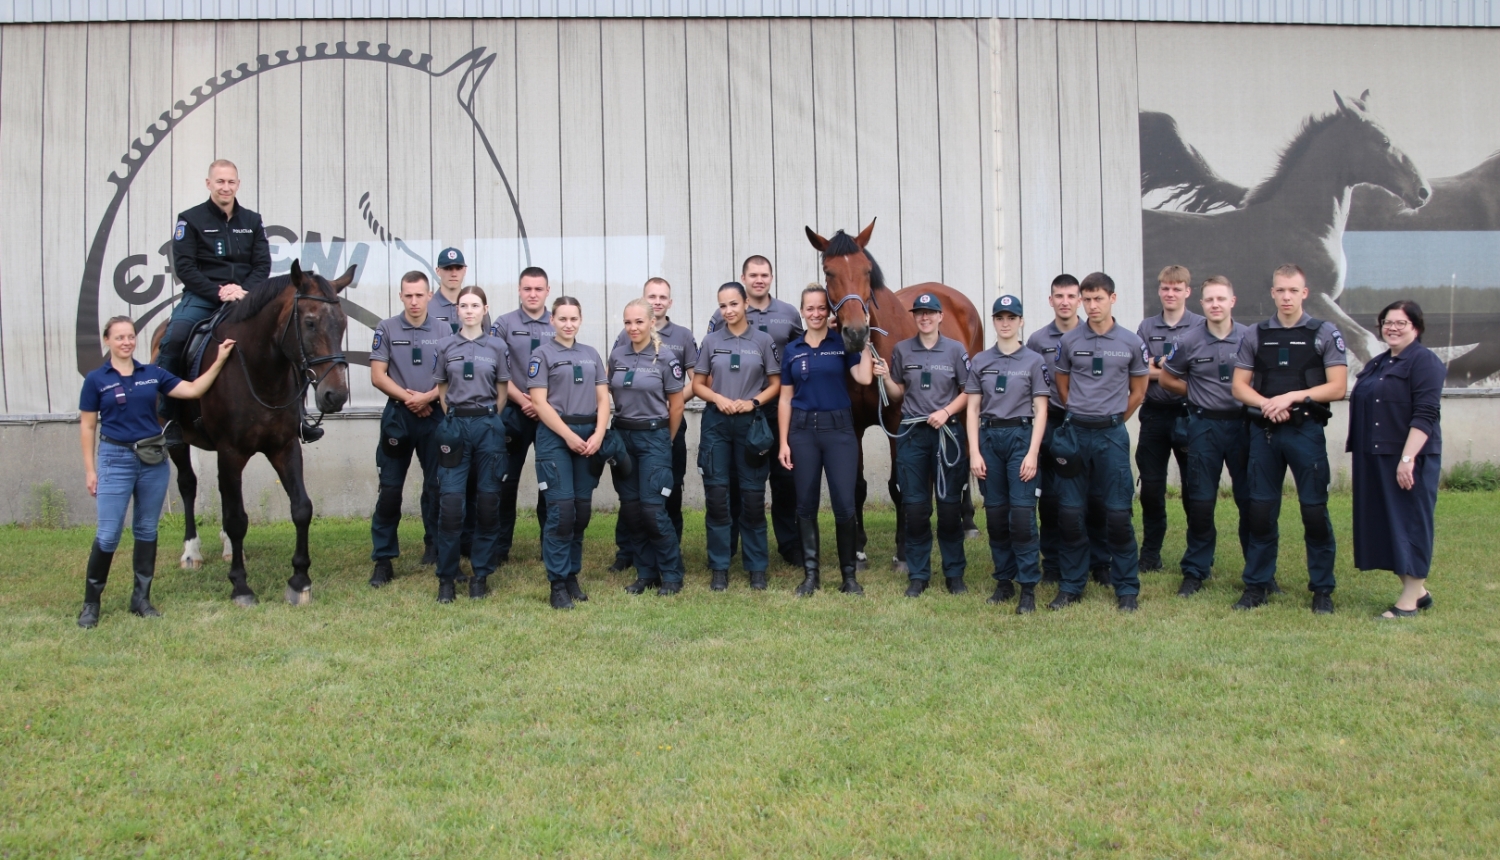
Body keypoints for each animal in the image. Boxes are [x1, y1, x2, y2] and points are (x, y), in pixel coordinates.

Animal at [151, 261, 354, 603]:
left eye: (342, 324)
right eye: (310, 323)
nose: (335, 395)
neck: (261, 372)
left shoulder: (285, 446)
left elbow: (301, 508)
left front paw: (299, 581)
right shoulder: (231, 451)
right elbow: (237, 519)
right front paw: (240, 586)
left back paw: (228, 549)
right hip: (181, 443)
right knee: (188, 485)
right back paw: (191, 553)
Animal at [804, 219, 990, 570]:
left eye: (866, 270)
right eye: (829, 272)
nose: (855, 333)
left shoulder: (896, 422)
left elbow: (899, 485)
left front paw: (903, 552)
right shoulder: (854, 424)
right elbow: (857, 486)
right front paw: (858, 551)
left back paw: (968, 522)